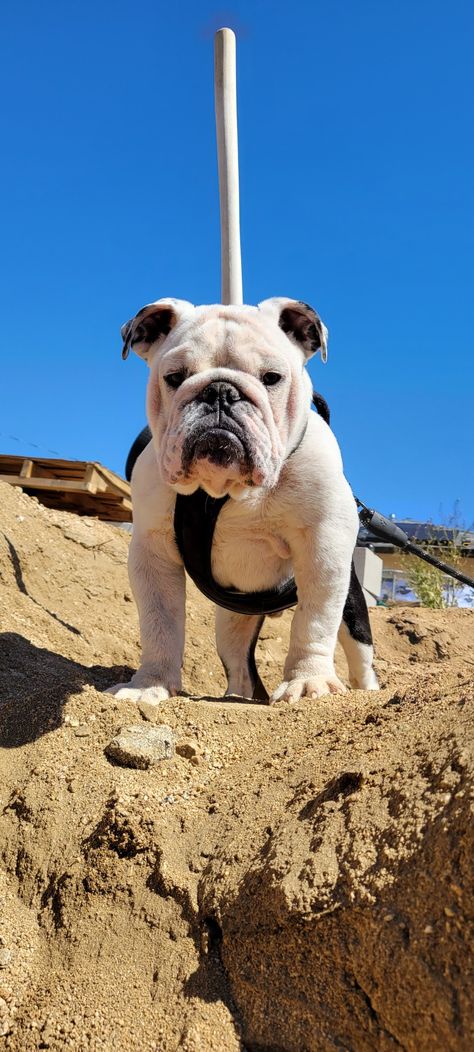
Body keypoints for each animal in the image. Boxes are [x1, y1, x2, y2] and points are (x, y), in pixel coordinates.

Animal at [107, 298, 378, 706]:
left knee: (359, 657)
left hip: (353, 607)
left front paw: (307, 681)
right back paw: (237, 697)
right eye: (175, 377)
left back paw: (368, 690)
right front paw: (149, 685)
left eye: (272, 378)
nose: (219, 392)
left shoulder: (325, 544)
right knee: (239, 664)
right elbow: (159, 623)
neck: (226, 491)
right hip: (232, 619)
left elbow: (313, 621)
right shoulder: (153, 553)